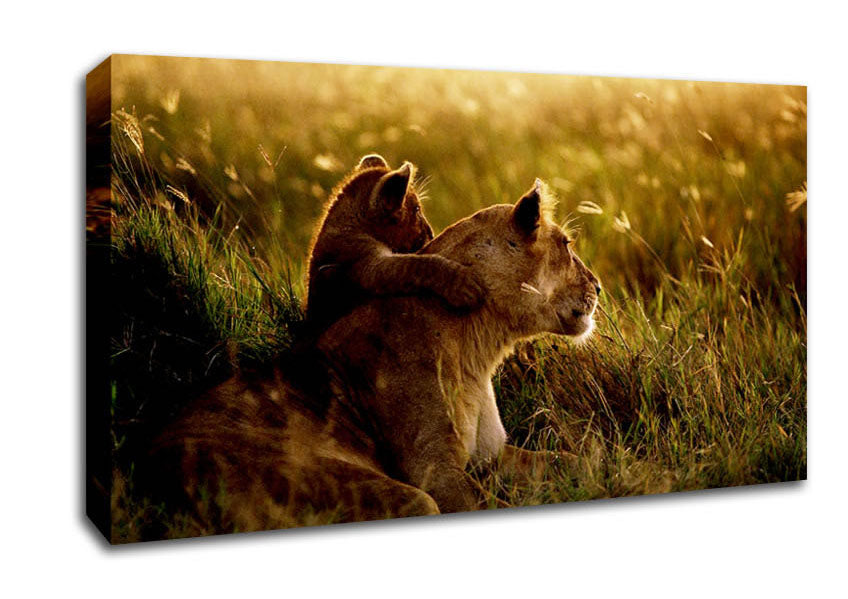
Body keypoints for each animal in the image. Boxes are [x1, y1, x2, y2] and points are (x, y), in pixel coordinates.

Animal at [148, 179, 600, 534]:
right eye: (566, 244)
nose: (598, 286)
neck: (479, 346)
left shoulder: (491, 454)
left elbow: (571, 460)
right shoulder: (435, 473)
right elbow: (488, 503)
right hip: (391, 495)